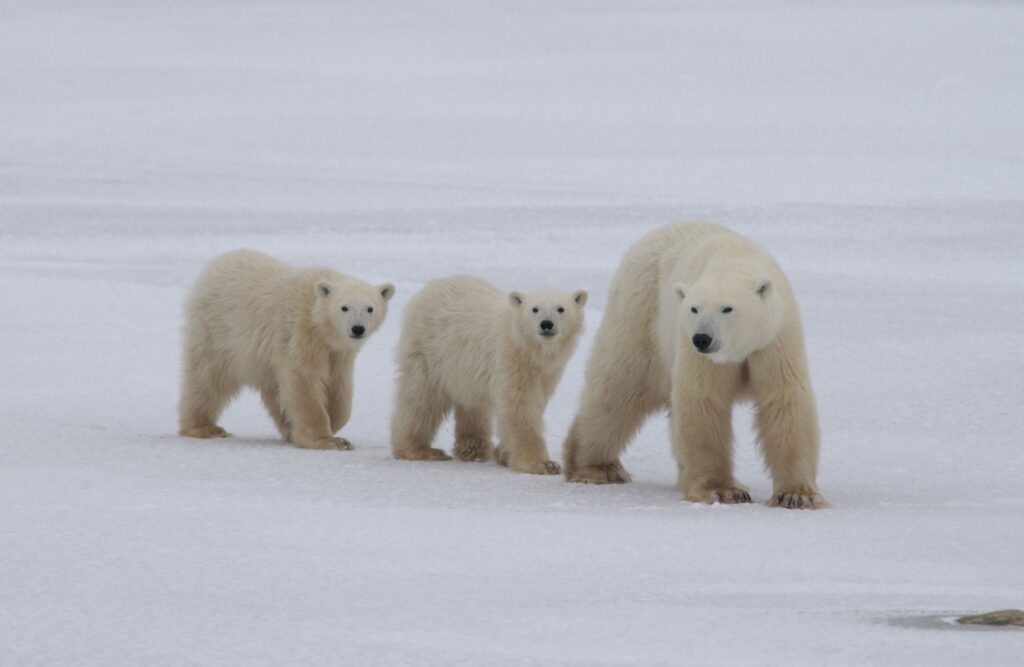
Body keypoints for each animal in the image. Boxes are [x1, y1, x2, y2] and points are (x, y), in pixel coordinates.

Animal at [178, 253, 393, 450]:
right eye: (344, 307)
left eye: (370, 308)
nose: (357, 329)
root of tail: (216, 264)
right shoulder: (302, 332)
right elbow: (303, 377)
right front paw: (328, 440)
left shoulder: (339, 352)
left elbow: (338, 386)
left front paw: (331, 424)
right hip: (217, 332)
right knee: (208, 379)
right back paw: (205, 427)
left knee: (273, 388)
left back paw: (286, 427)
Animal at [389, 276, 585, 475]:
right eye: (534, 308)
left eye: (561, 308)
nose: (546, 324)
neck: (529, 349)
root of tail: (430, 288)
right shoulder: (510, 356)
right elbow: (519, 404)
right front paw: (543, 464)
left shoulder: (547, 372)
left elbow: (536, 401)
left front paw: (504, 454)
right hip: (430, 351)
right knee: (422, 399)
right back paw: (420, 449)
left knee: (472, 403)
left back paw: (473, 448)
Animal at [565, 221, 827, 508]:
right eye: (694, 308)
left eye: (727, 308)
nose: (702, 338)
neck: (735, 258)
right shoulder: (696, 350)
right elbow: (703, 400)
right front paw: (723, 491)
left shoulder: (774, 341)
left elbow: (783, 400)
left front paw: (797, 495)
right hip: (642, 318)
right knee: (619, 388)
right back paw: (597, 468)